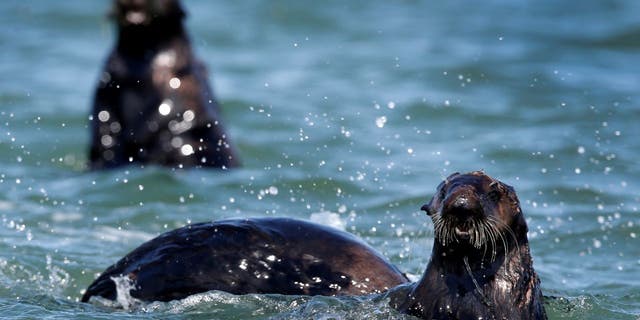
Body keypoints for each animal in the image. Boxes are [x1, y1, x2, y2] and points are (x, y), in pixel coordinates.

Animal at [89, 0, 239, 170]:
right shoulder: (107, 79)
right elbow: (103, 114)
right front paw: (109, 143)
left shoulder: (179, 80)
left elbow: (170, 109)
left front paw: (133, 138)